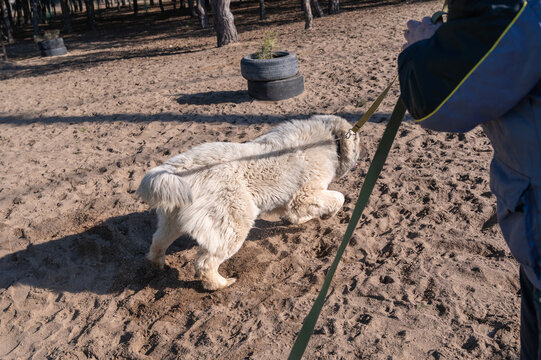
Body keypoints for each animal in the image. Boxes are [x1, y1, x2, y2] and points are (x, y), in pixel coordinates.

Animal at [136, 115, 362, 290]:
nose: (360, 160)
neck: (330, 138)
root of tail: (176, 168)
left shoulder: (294, 201)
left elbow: (295, 214)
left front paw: (302, 220)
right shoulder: (305, 195)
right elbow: (338, 197)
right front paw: (328, 213)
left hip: (173, 221)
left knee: (158, 241)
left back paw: (157, 264)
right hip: (233, 224)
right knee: (205, 263)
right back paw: (220, 284)